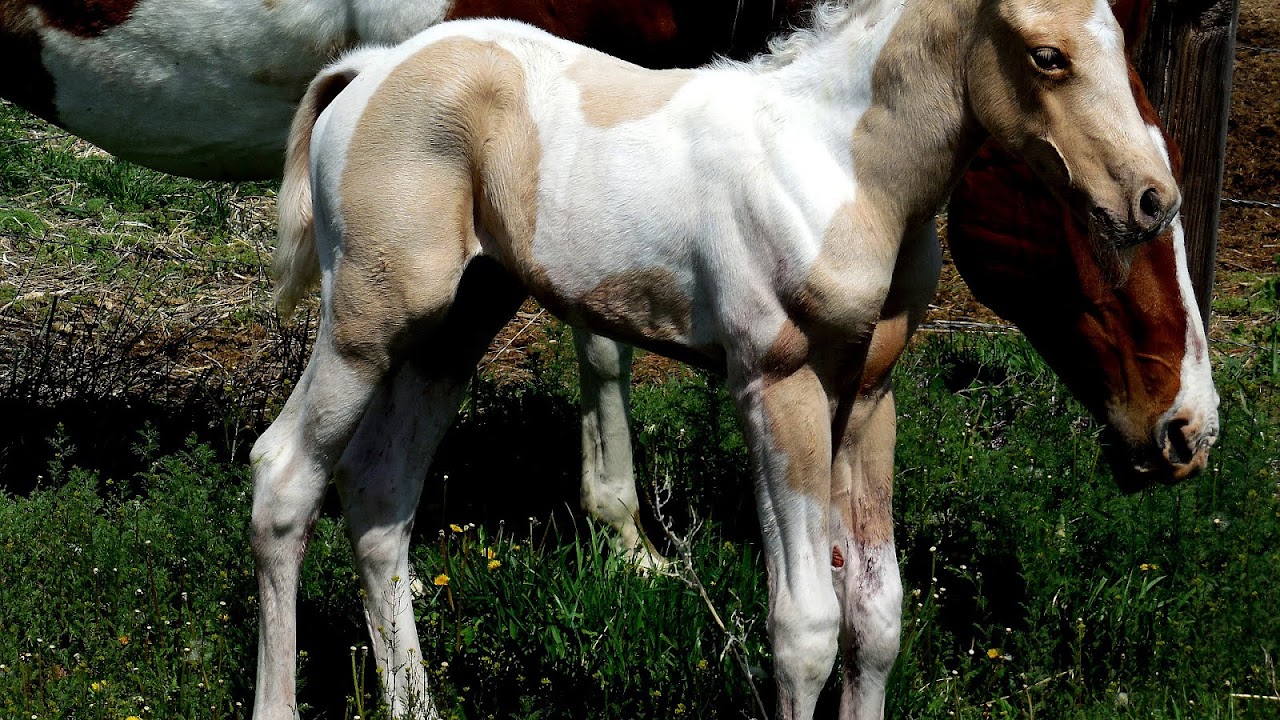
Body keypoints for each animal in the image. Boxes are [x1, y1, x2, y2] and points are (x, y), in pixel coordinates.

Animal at [255, 0, 1193, 717]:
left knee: (380, 492)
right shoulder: (776, 384)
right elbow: (806, 628)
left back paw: (415, 703)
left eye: (1119, 46)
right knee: (283, 476)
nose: (1153, 200)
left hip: (458, 323)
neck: (846, 166)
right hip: (369, 321)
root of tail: (368, 70)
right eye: (1047, 57)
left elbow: (877, 616)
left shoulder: (870, 395)